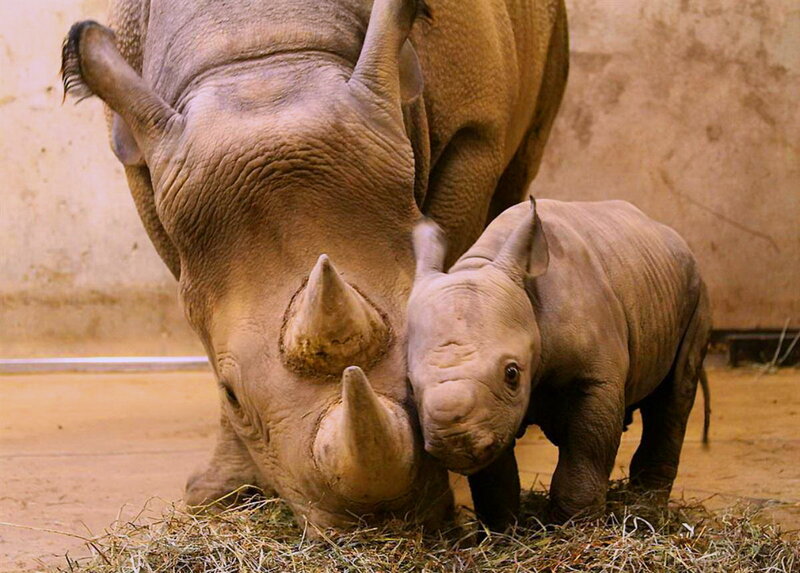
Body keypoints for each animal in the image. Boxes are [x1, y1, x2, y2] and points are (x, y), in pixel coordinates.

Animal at [60, 0, 568, 529]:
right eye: (231, 393)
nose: (378, 521)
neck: (261, 53)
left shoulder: (474, 136)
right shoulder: (143, 165)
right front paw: (222, 496)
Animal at [408, 198, 711, 529]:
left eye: (511, 374)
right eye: (410, 385)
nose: (453, 441)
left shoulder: (595, 379)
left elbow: (585, 451)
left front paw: (574, 527)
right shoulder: (492, 415)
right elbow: (494, 475)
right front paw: (501, 531)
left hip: (696, 289)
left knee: (674, 395)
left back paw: (648, 510)